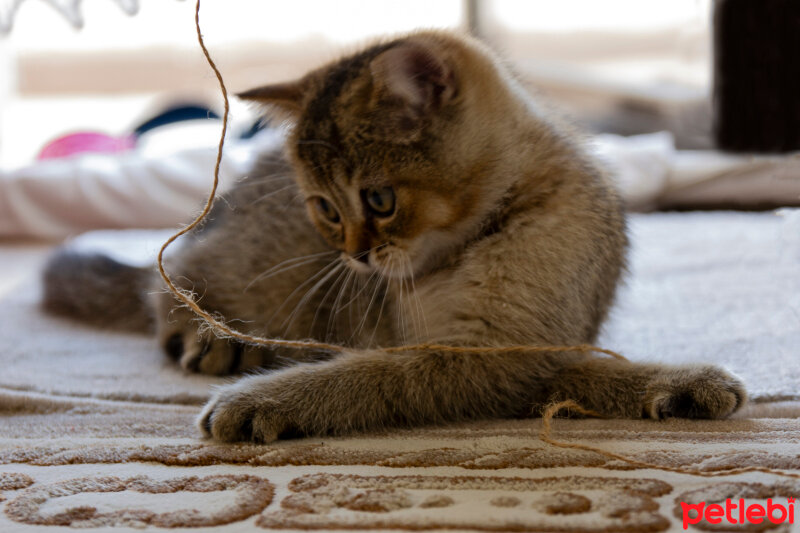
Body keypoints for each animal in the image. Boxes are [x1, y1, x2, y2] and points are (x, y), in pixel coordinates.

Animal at [42, 29, 744, 440]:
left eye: (379, 200)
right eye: (325, 207)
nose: (354, 255)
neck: (479, 237)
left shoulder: (511, 353)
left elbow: (574, 374)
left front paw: (685, 386)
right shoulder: (471, 356)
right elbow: (368, 371)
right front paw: (260, 397)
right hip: (260, 272)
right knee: (170, 278)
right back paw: (211, 334)